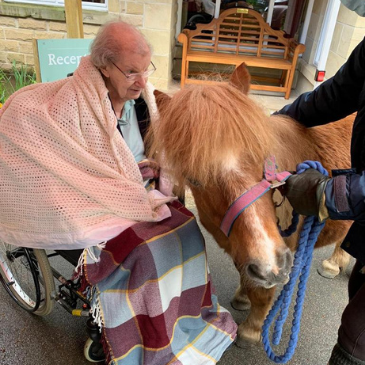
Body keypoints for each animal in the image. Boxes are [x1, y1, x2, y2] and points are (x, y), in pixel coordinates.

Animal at [149, 64, 352, 346]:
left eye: (262, 157)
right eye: (194, 179)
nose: (271, 267)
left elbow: (262, 294)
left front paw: (251, 329)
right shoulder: (242, 248)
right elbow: (248, 277)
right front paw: (244, 297)